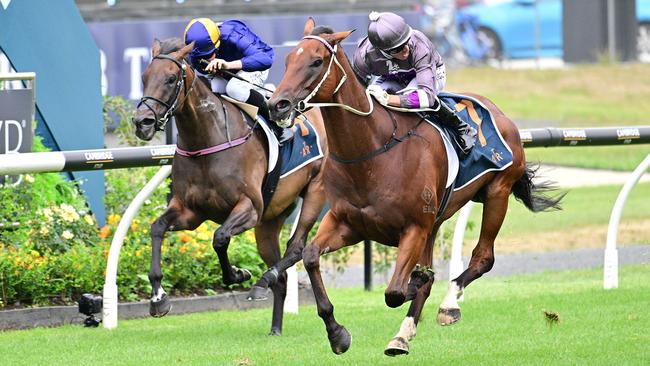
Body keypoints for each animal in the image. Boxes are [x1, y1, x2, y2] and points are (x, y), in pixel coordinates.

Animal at [131, 38, 326, 336]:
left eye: (171, 78)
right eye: (144, 78)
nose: (143, 122)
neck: (206, 141)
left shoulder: (249, 207)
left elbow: (220, 237)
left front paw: (238, 274)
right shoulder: (190, 212)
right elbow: (157, 228)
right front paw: (158, 299)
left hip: (314, 191)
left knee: (296, 248)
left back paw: (261, 282)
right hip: (269, 221)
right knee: (281, 277)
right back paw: (274, 326)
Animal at [266, 19, 560, 354]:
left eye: (316, 62)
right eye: (288, 61)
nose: (277, 105)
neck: (371, 152)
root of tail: (501, 114)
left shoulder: (413, 228)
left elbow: (396, 291)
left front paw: (418, 283)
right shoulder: (347, 223)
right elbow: (311, 256)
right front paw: (337, 333)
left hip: (497, 193)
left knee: (483, 258)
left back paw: (447, 306)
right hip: (436, 222)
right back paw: (402, 335)